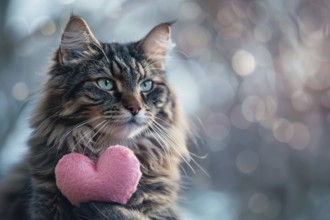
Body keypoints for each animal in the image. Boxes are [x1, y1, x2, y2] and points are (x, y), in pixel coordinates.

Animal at [0, 14, 189, 219]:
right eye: (105, 83)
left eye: (146, 85)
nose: (135, 108)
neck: (107, 148)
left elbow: (130, 214)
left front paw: (98, 208)